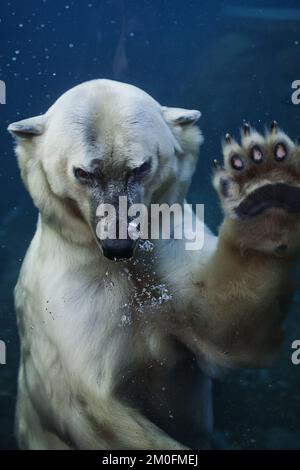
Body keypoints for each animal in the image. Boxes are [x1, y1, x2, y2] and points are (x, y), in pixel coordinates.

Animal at [7, 79, 300, 450]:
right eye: (83, 173)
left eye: (140, 168)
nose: (118, 245)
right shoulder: (66, 297)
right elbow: (92, 410)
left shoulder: (168, 247)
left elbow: (227, 325)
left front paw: (265, 183)